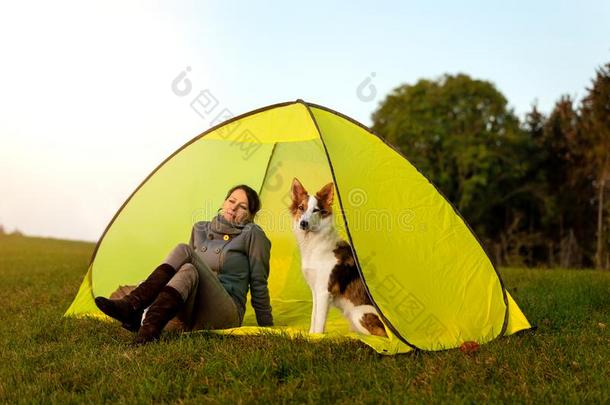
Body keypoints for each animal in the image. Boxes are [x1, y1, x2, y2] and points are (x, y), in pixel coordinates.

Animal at [290, 178, 384, 336]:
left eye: (315, 210)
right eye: (301, 208)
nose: (303, 223)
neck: (314, 244)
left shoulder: (323, 291)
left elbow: (319, 322)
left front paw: (317, 338)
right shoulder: (315, 291)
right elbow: (314, 317)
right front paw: (310, 336)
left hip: (357, 313)